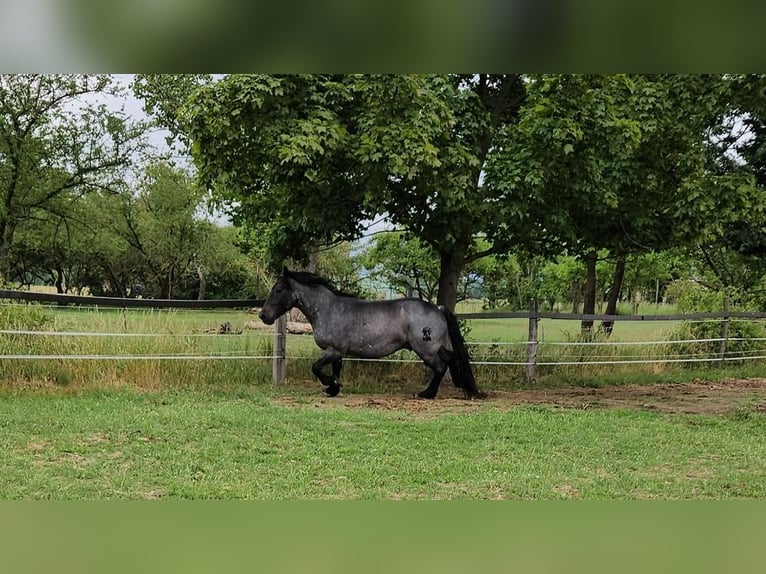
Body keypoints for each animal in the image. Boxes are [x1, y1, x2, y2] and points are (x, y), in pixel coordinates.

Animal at [260, 268, 484, 400]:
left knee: (440, 367)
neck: (328, 309)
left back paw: (427, 394)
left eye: (278, 290)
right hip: (436, 347)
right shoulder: (338, 352)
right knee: (452, 360)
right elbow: (336, 370)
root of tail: (438, 308)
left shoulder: (333, 350)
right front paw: (334, 388)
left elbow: (316, 368)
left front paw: (328, 384)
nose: (263, 316)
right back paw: (465, 389)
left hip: (426, 350)